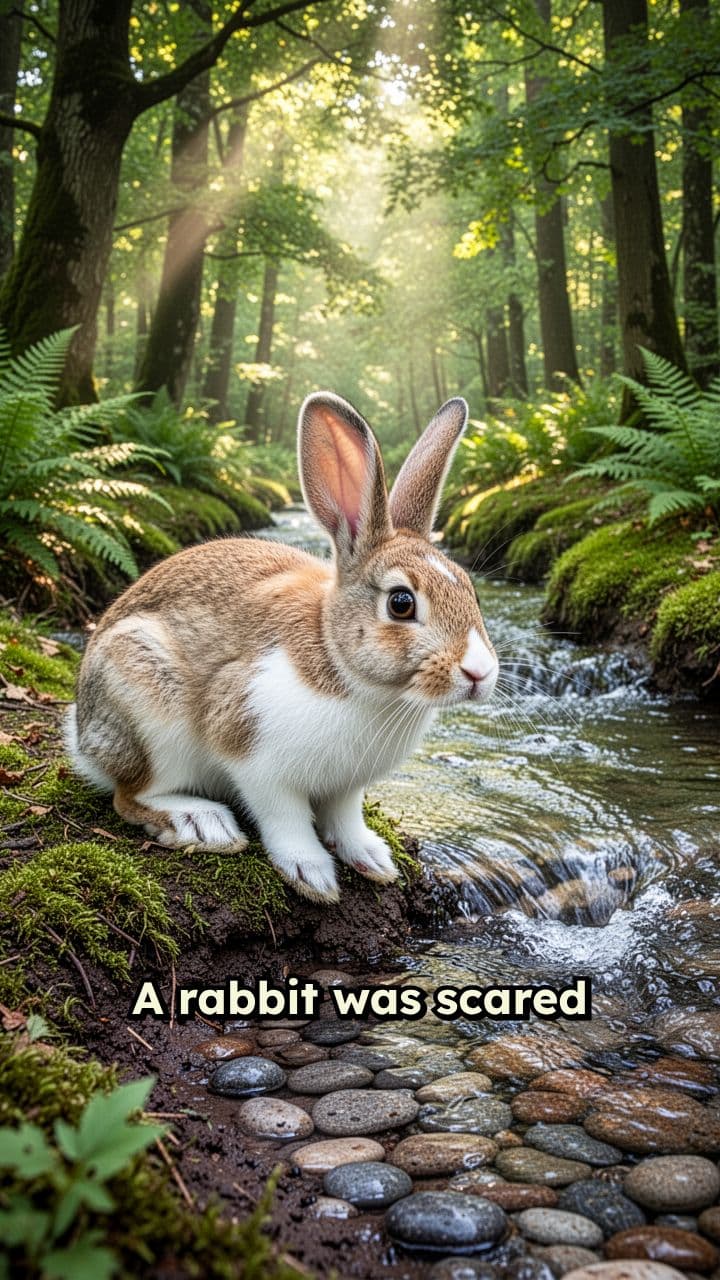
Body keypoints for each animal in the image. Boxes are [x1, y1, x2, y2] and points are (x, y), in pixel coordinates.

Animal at [65, 392, 498, 903]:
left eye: (472, 592)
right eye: (401, 603)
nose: (480, 673)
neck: (347, 668)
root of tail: (83, 738)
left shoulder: (347, 788)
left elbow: (344, 820)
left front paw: (372, 860)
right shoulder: (254, 756)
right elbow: (284, 818)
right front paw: (312, 874)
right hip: (146, 708)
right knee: (129, 796)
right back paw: (203, 824)